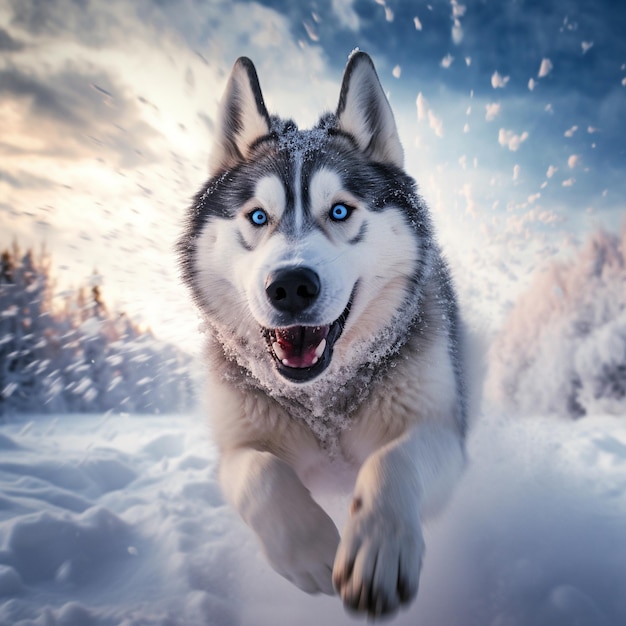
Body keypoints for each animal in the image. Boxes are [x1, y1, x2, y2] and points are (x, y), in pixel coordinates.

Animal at [178, 52, 466, 616]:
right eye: (258, 216)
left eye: (339, 210)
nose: (290, 286)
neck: (321, 401)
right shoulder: (238, 444)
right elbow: (260, 475)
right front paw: (310, 548)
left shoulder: (441, 430)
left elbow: (394, 461)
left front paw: (378, 550)